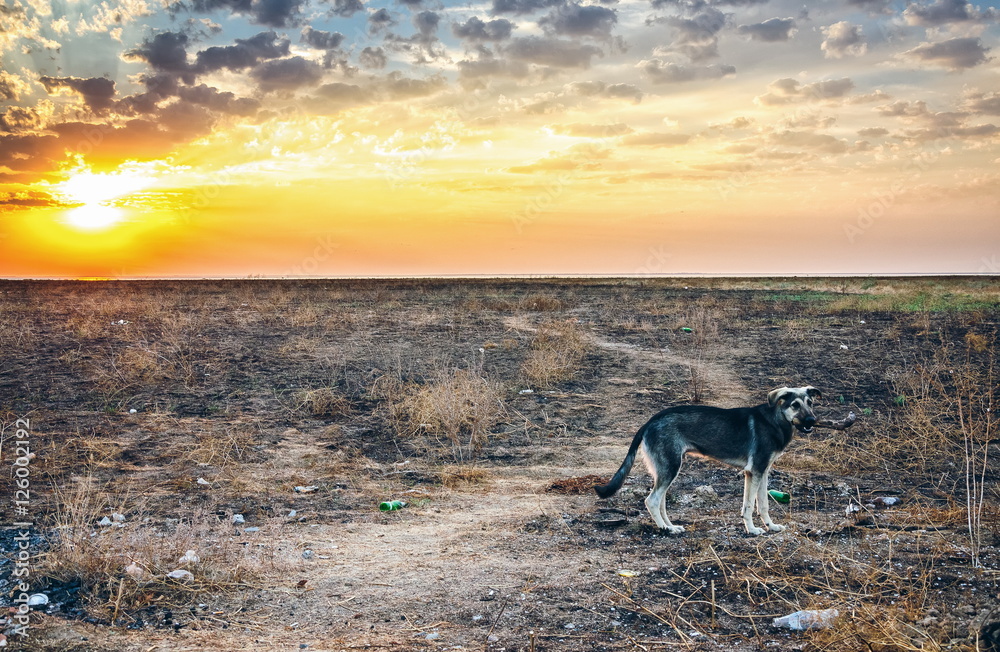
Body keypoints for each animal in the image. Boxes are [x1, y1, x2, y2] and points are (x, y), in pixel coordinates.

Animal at [592, 388, 820, 536]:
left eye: (810, 403)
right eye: (795, 405)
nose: (812, 421)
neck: (775, 420)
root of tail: (650, 421)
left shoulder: (762, 472)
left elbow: (763, 504)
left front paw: (771, 527)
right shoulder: (754, 472)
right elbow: (748, 506)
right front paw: (752, 530)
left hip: (664, 470)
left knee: (660, 501)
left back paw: (670, 525)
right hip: (671, 468)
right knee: (652, 501)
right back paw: (667, 529)